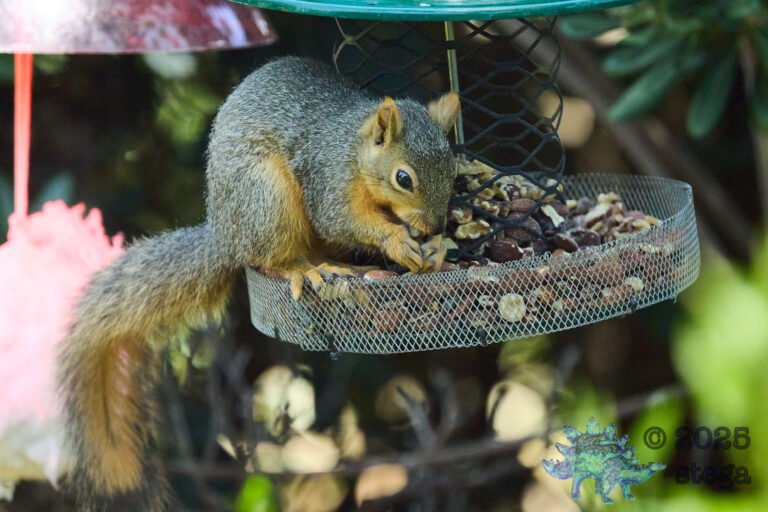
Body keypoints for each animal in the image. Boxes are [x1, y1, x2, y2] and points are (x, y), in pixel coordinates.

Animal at [57, 56, 460, 510]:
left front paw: (436, 249)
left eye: (453, 170)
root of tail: (225, 234)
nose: (434, 226)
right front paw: (396, 239)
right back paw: (303, 269)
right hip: (266, 197)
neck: (353, 149)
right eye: (403, 178)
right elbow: (341, 218)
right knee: (272, 258)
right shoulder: (328, 178)